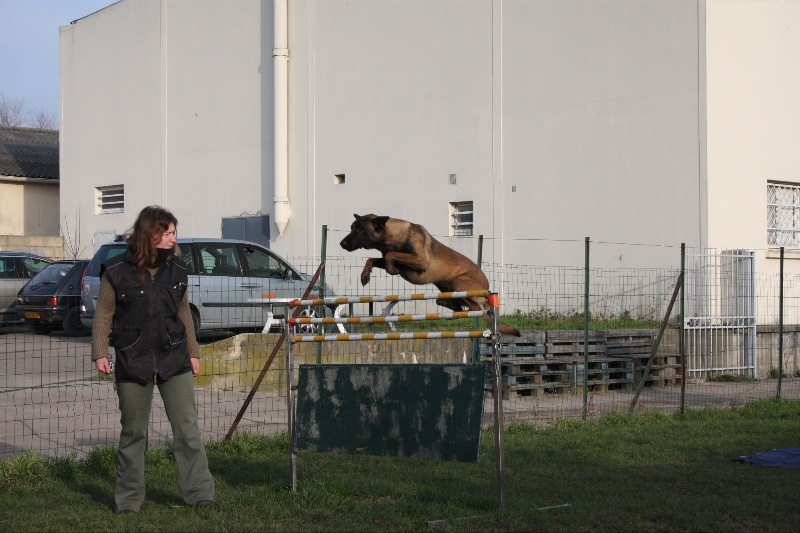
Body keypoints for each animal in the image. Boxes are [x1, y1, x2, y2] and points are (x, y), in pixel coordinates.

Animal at [340, 213, 520, 334]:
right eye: (351, 228)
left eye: (360, 229)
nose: (342, 244)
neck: (393, 235)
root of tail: (488, 287)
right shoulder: (387, 258)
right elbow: (372, 258)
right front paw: (365, 275)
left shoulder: (420, 261)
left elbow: (391, 255)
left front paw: (391, 269)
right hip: (444, 287)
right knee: (458, 309)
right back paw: (445, 304)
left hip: (458, 284)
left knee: (474, 309)